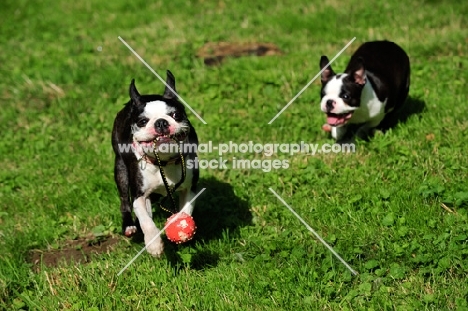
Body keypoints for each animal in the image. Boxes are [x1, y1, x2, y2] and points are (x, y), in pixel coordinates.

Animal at [112, 71, 199, 258]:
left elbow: (186, 210)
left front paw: (181, 227)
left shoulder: (190, 188)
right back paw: (129, 226)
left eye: (176, 115)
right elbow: (146, 220)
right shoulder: (140, 196)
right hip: (120, 169)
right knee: (124, 201)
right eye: (143, 121)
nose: (160, 122)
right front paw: (153, 244)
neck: (163, 161)